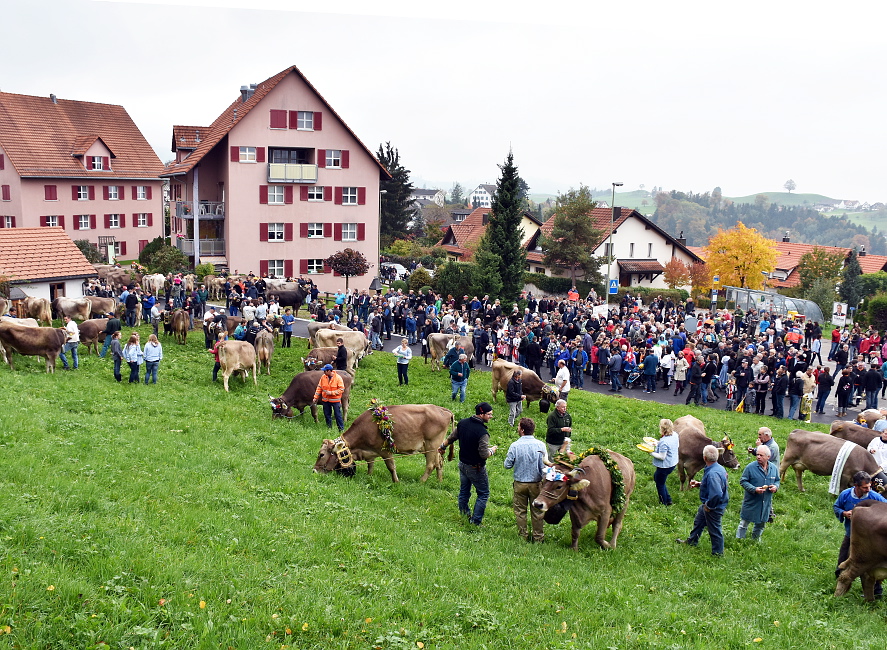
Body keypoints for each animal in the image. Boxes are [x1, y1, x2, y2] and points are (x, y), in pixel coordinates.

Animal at [312, 404, 454, 480]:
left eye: (322, 454)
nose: (314, 471)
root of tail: (444, 410)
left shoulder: (385, 451)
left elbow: (391, 467)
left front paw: (396, 482)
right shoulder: (369, 452)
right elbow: (370, 465)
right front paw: (369, 476)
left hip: (431, 444)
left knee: (430, 465)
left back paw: (421, 481)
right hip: (433, 447)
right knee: (439, 463)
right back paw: (439, 481)